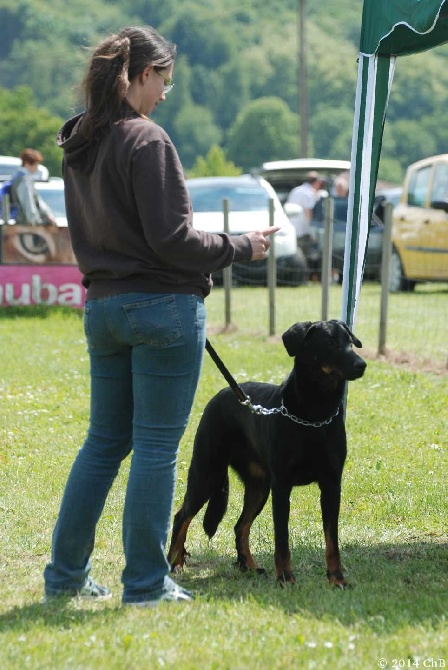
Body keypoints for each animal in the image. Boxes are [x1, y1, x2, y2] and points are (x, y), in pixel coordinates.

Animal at [168, 320, 368, 588]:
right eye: (329, 342)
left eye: (349, 341)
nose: (361, 364)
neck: (315, 414)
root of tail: (222, 394)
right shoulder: (282, 486)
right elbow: (281, 539)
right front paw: (286, 578)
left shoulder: (331, 485)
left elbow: (332, 541)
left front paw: (337, 579)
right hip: (207, 473)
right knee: (182, 517)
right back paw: (174, 562)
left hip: (259, 487)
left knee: (240, 526)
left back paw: (249, 566)